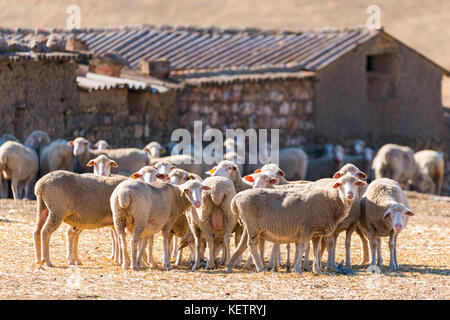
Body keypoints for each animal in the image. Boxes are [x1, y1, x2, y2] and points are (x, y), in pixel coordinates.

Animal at [227, 174, 368, 274]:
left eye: (356, 183)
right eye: (340, 184)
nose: (350, 194)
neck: (331, 201)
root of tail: (237, 197)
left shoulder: (317, 233)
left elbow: (316, 249)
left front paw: (317, 270)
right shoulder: (307, 228)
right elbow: (302, 246)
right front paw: (297, 268)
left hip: (249, 226)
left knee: (242, 244)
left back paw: (229, 266)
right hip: (253, 226)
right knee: (251, 245)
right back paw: (260, 268)